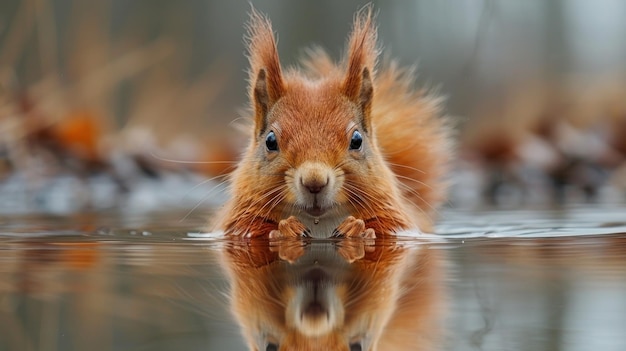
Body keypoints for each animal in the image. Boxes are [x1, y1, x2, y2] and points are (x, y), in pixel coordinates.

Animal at [214, 7, 448, 239]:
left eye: (357, 140)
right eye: (270, 141)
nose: (314, 182)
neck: (319, 224)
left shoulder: (400, 220)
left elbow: (389, 228)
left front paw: (356, 228)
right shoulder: (235, 221)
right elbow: (247, 229)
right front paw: (286, 228)